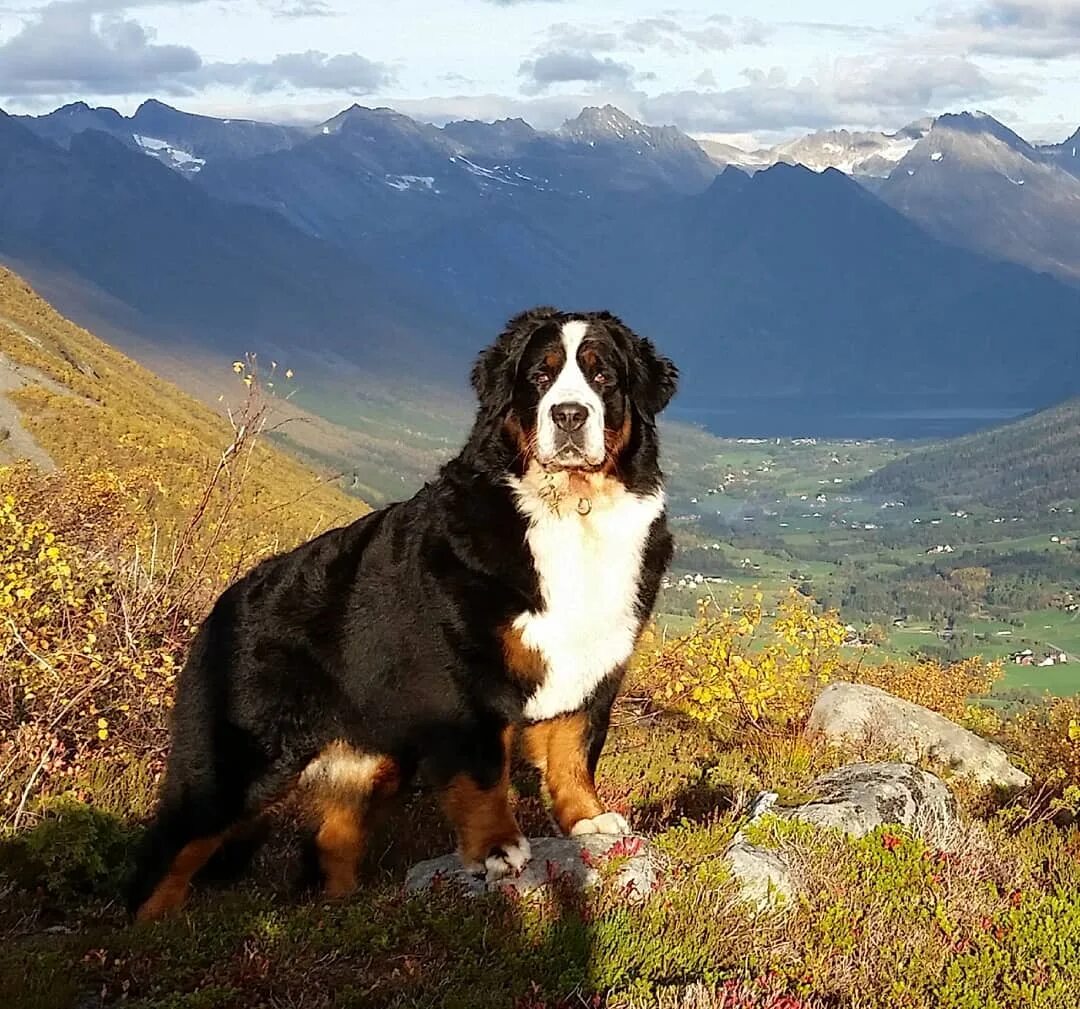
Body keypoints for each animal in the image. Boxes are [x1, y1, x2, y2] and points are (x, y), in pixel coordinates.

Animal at [126, 304, 673, 920]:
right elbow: (484, 770)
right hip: (240, 758)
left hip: (372, 760)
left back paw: (343, 914)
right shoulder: (463, 679)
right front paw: (498, 847)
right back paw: (153, 927)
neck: (573, 512)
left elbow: (574, 750)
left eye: (603, 376)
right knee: (173, 848)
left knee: (331, 841)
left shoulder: (595, 661)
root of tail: (225, 603)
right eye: (540, 376)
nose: (570, 414)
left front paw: (589, 820)